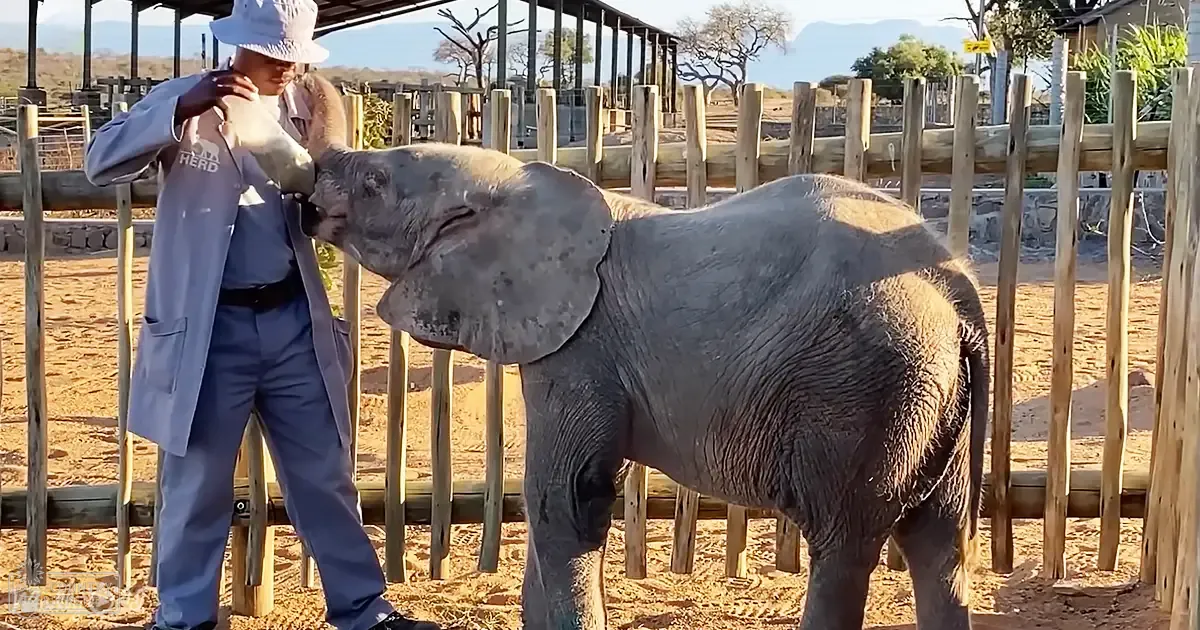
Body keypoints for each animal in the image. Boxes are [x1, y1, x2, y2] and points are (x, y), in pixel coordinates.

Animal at [221, 72, 991, 630]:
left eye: (375, 183)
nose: (294, 78)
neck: (519, 184)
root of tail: (953, 285)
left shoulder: (579, 349)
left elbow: (567, 498)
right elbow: (549, 507)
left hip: (866, 386)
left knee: (844, 544)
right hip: (927, 394)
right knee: (940, 545)